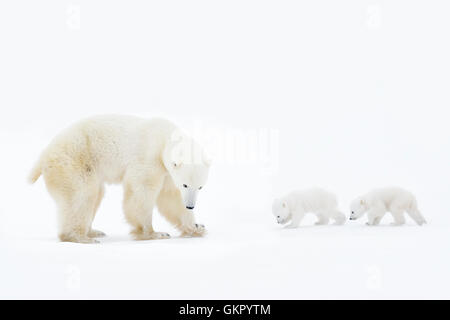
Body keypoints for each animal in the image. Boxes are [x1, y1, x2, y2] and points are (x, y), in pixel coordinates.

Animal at [29, 115, 212, 242]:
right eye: (185, 185)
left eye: (200, 187)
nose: (190, 206)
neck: (165, 137)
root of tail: (43, 156)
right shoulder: (149, 158)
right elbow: (141, 192)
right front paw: (154, 233)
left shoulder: (167, 173)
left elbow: (170, 198)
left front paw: (197, 227)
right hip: (75, 160)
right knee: (82, 194)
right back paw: (80, 237)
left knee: (95, 194)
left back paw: (93, 231)